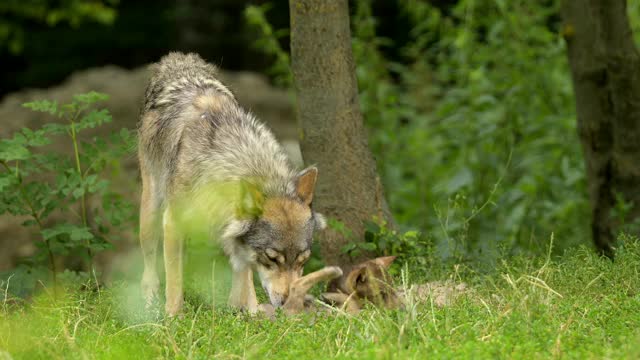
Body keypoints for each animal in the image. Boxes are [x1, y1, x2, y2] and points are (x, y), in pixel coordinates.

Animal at [139, 52, 324, 316]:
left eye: (302, 261)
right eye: (271, 258)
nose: (289, 303)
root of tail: (179, 59)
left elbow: (244, 276)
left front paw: (249, 312)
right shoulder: (173, 222)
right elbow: (173, 283)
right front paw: (173, 318)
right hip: (151, 214)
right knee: (150, 265)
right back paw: (148, 301)